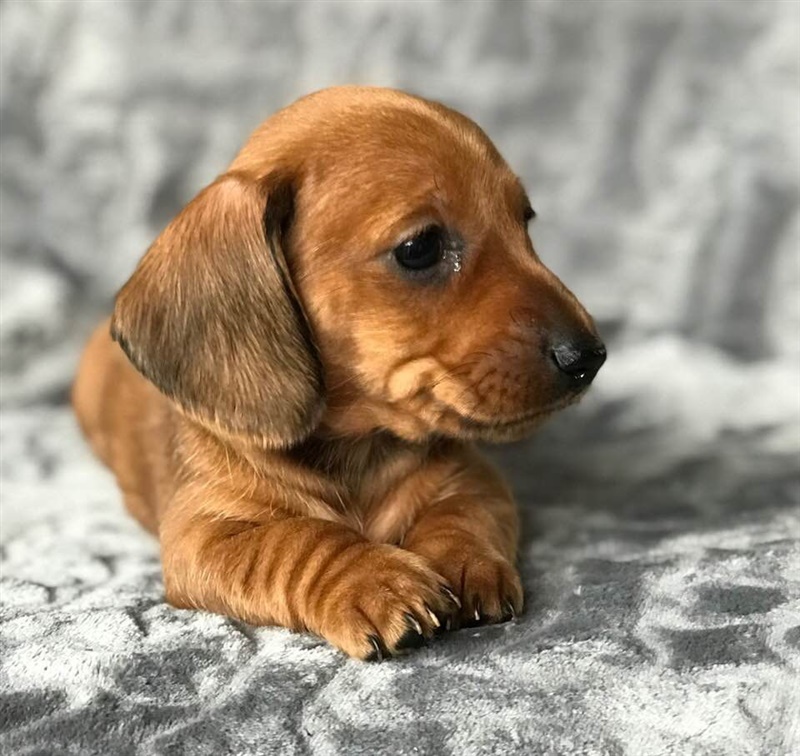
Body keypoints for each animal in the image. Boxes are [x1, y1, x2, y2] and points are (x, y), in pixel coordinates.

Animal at [73, 86, 605, 660]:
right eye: (420, 248)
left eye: (523, 221)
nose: (591, 357)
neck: (358, 450)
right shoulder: (203, 534)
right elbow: (296, 539)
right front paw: (373, 579)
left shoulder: (474, 478)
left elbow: (462, 514)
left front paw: (463, 560)